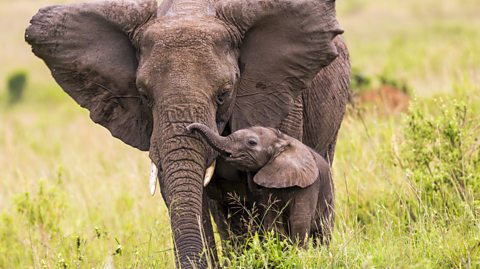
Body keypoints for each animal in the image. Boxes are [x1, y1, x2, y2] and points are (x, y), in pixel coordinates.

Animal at [187, 122, 334, 244]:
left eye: (251, 142)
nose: (188, 128)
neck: (282, 140)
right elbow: (272, 218)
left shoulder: (309, 185)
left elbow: (299, 220)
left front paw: (298, 254)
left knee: (323, 233)